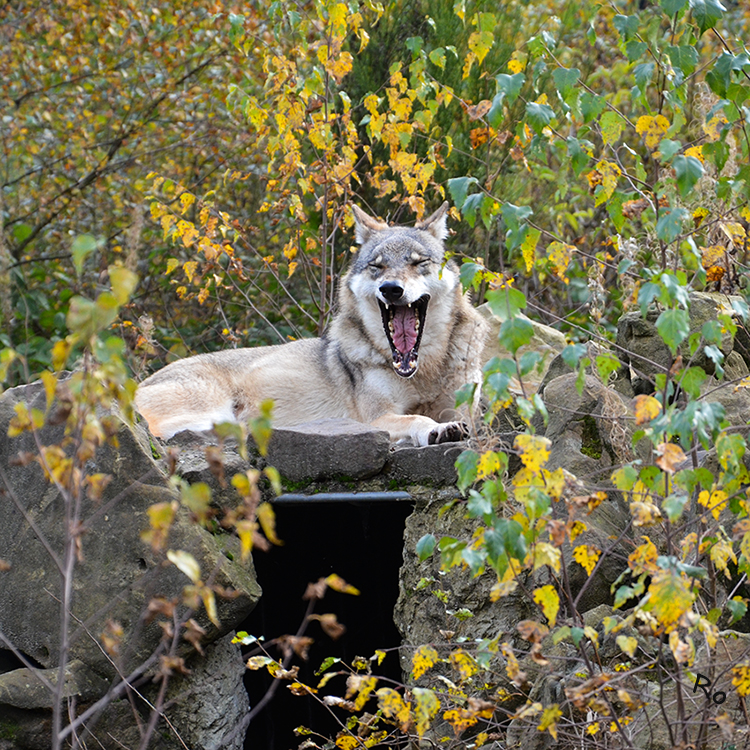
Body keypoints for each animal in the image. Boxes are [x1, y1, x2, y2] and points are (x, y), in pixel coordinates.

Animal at [134, 203, 488, 446]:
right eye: (377, 266)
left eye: (419, 263)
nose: (391, 289)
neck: (423, 370)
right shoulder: (375, 417)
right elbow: (417, 416)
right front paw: (436, 429)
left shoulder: (464, 409)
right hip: (212, 409)